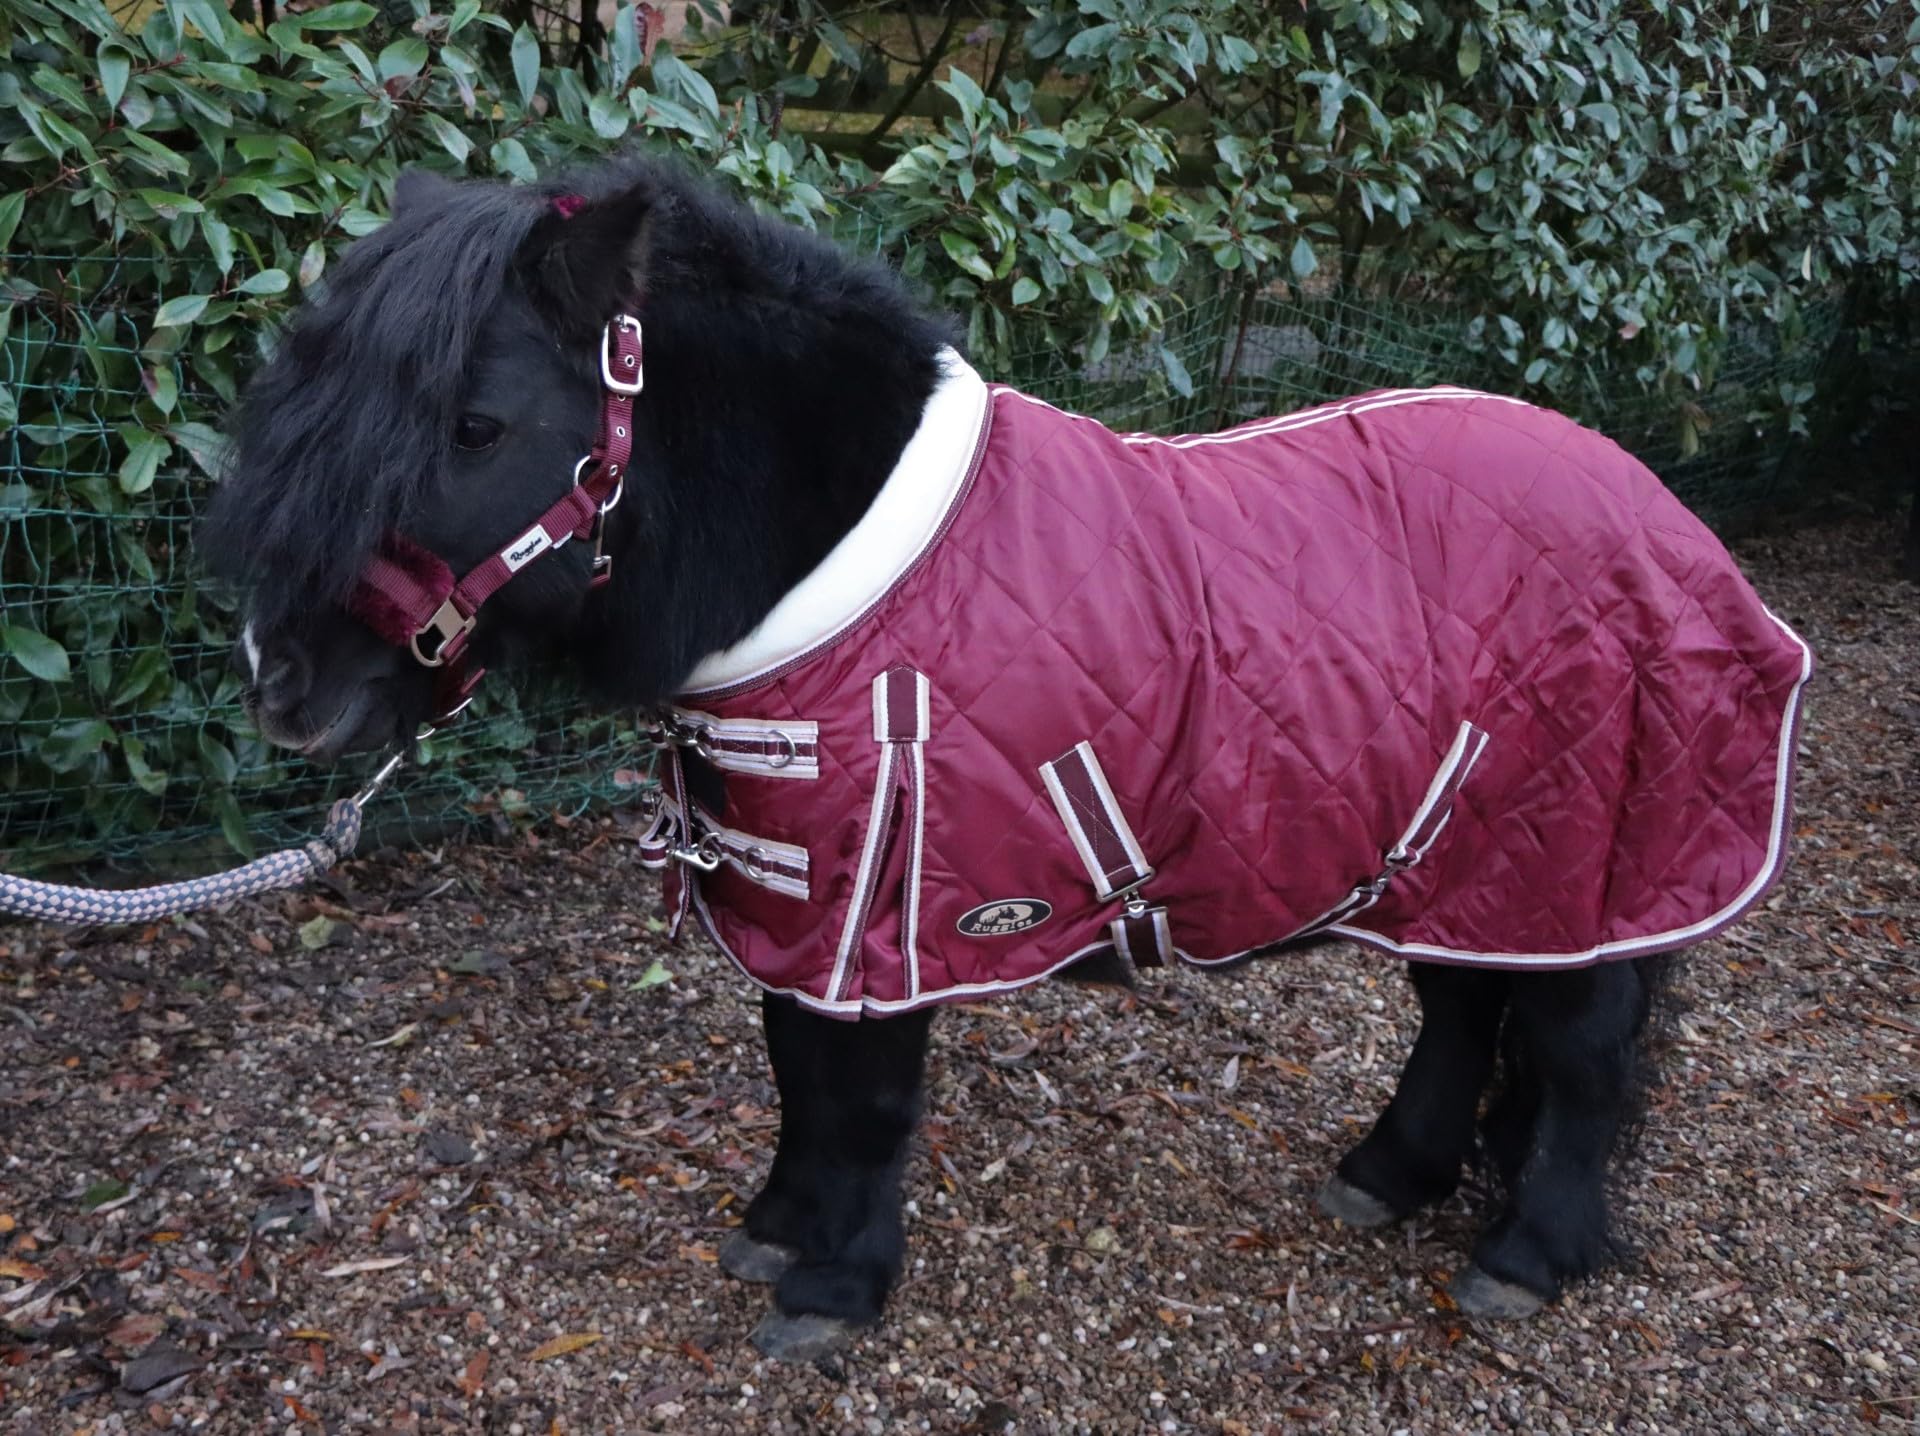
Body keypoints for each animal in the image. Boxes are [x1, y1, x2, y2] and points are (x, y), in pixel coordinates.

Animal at [203, 156, 1812, 1360]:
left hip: (1577, 874)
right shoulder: (806, 896)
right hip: (1467, 868)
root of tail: (1662, 513)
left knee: (1581, 1061)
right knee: (1464, 1017)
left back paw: (1527, 1254)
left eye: (477, 423)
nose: (284, 688)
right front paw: (777, 1230)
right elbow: (795, 1070)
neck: (844, 569)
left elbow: (860, 1097)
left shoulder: (892, 905)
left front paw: (835, 1286)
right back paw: (1389, 1176)